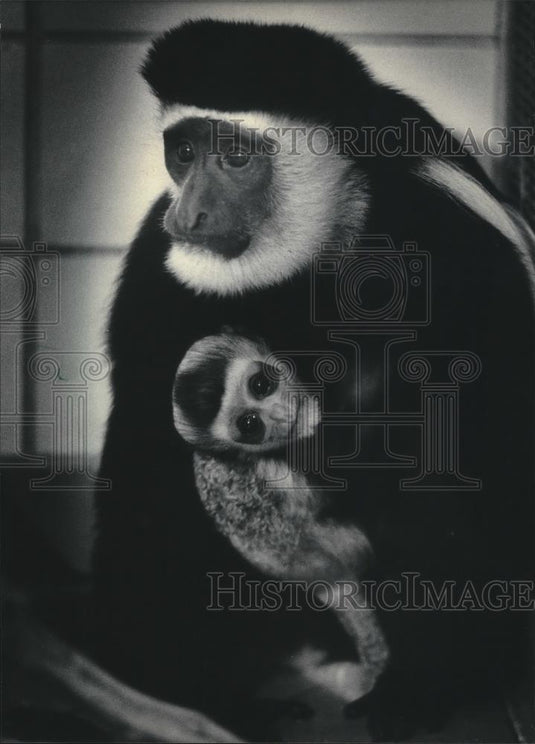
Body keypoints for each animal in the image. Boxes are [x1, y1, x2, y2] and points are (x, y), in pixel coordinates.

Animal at [172, 332, 389, 699]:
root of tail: (324, 578)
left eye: (261, 384)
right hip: (344, 544)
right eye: (249, 424)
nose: (278, 412)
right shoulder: (283, 468)